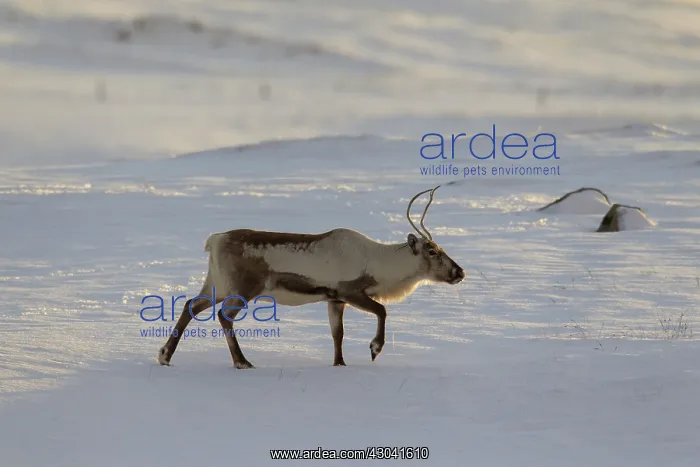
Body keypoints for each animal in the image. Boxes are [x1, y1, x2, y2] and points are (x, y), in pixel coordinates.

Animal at [157, 184, 465, 369]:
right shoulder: (349, 291)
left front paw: (339, 363)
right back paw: (242, 362)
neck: (380, 263)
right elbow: (382, 310)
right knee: (223, 316)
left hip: (217, 284)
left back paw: (164, 356)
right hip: (241, 288)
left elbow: (337, 334)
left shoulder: (334, 299)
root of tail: (214, 240)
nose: (459, 272)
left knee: (190, 306)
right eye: (432, 251)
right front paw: (375, 348)